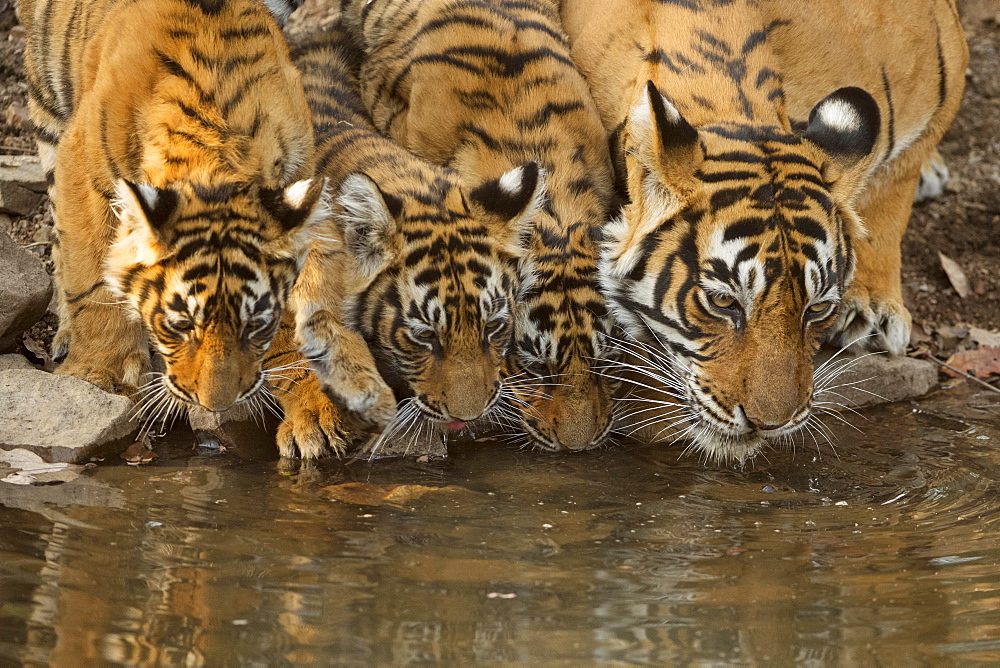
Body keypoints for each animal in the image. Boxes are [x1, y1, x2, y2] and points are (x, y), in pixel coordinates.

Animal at [15, 0, 356, 456]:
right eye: (178, 325)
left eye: (255, 327)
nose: (215, 403)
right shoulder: (83, 165)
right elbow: (93, 279)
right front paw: (100, 373)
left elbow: (313, 312)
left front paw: (316, 410)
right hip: (49, 107)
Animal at [560, 0, 964, 462]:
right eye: (723, 302)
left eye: (817, 309)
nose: (769, 424)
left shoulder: (942, 65)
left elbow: (894, 187)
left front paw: (874, 310)